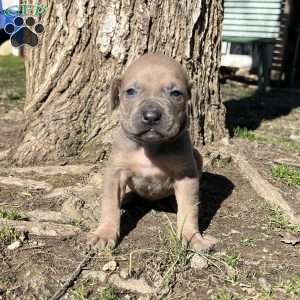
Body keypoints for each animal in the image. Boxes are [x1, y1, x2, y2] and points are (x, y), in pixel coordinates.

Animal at [88, 54, 217, 251]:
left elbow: (189, 210)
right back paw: (127, 197)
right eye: (130, 91)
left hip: (198, 157)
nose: (151, 116)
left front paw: (191, 236)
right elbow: (110, 205)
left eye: (176, 93)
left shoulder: (186, 176)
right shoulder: (115, 174)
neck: (150, 146)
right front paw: (105, 233)